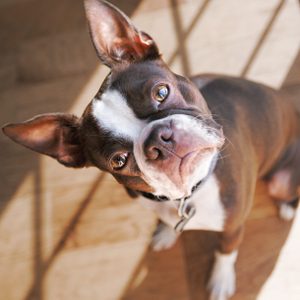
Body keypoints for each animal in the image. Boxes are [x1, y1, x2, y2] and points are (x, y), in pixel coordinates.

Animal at [2, 0, 300, 300]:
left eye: (161, 92)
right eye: (119, 160)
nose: (160, 139)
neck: (188, 194)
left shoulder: (233, 225)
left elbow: (226, 251)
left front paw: (220, 280)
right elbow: (168, 221)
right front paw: (167, 232)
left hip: (280, 183)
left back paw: (287, 207)